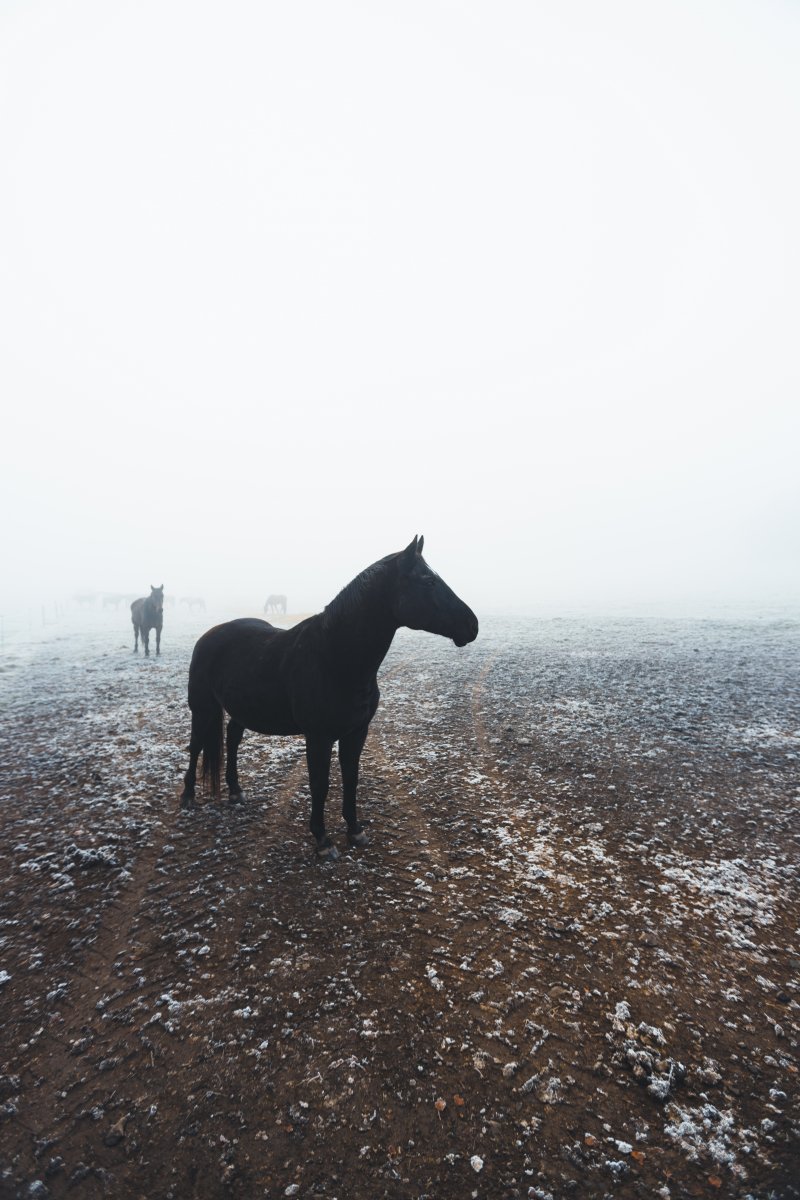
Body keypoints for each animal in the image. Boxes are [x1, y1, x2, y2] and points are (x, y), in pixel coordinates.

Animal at [181, 540, 479, 859]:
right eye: (428, 581)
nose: (472, 625)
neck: (332, 657)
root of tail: (209, 635)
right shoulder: (319, 737)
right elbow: (320, 785)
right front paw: (323, 840)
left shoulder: (356, 733)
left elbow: (351, 777)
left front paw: (355, 830)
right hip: (202, 709)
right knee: (196, 746)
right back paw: (187, 797)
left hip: (241, 710)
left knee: (233, 738)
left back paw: (236, 791)